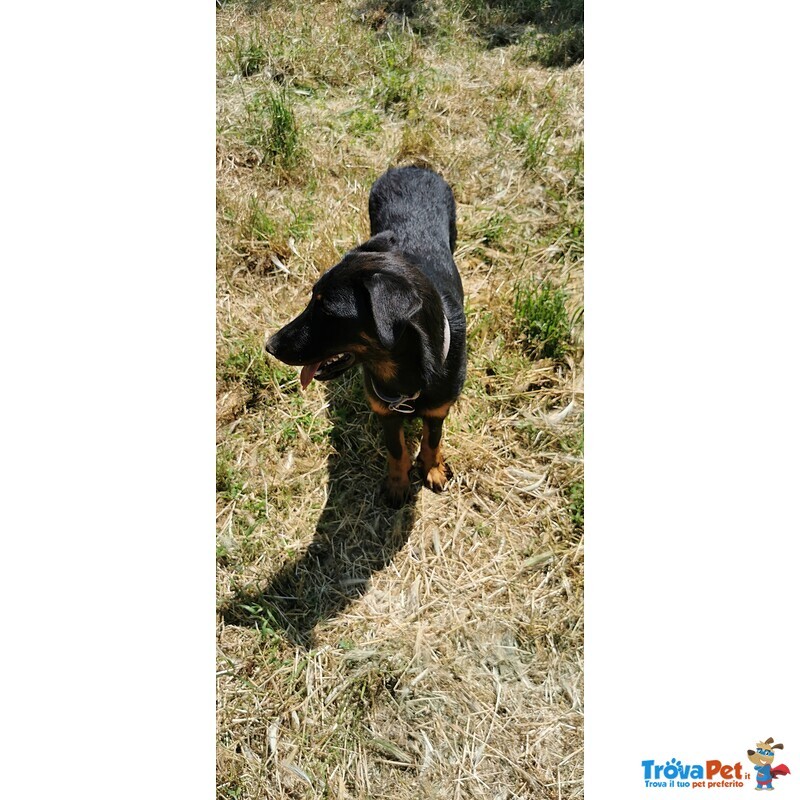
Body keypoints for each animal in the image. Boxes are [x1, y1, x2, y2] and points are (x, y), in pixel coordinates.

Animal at [266, 167, 466, 506]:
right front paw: (398, 483)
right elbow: (396, 449)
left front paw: (432, 467)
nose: (270, 346)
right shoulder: (385, 410)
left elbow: (433, 437)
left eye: (328, 312)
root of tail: (412, 167)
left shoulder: (440, 406)